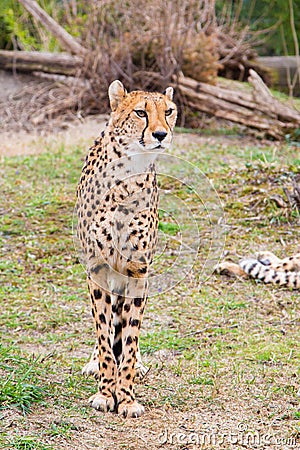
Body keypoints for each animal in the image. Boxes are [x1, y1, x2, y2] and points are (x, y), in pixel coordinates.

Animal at [76, 78, 177, 418]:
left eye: (168, 111)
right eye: (140, 113)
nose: (160, 135)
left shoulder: (137, 271)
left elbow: (130, 338)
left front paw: (127, 396)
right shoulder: (98, 269)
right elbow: (104, 334)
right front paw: (106, 393)